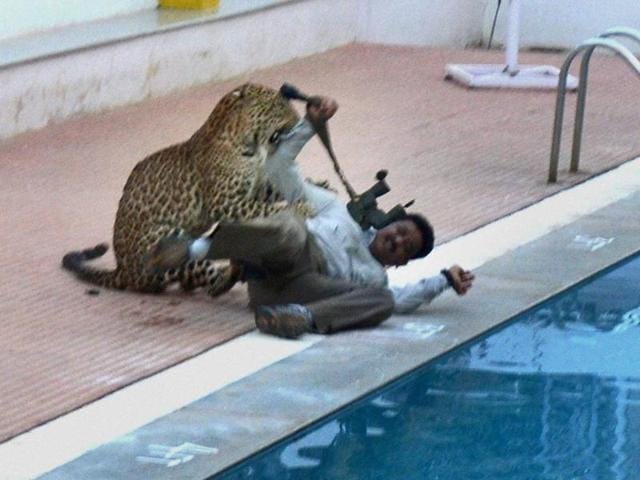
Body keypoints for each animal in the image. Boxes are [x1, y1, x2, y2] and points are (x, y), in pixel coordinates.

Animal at [62, 82, 314, 297]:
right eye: (277, 107)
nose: (298, 120)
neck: (249, 144)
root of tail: (122, 271)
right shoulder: (226, 201)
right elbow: (268, 208)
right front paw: (302, 207)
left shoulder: (256, 187)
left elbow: (274, 192)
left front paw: (314, 184)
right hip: (167, 242)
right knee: (208, 283)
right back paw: (231, 269)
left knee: (193, 282)